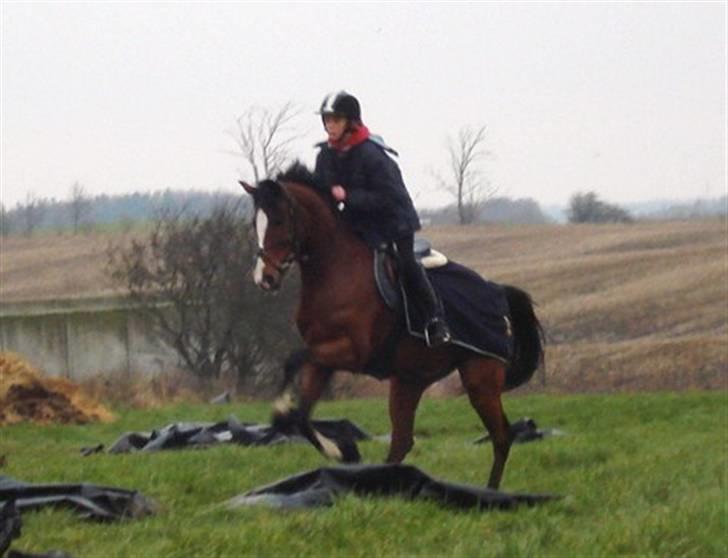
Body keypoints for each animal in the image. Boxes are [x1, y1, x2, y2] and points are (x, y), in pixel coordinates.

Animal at [242, 163, 544, 490]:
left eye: (279, 220)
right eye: (255, 223)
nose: (264, 278)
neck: (334, 270)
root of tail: (498, 292)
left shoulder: (351, 352)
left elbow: (293, 362)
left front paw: (291, 414)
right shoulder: (323, 358)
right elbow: (301, 412)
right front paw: (341, 449)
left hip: (480, 379)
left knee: (501, 436)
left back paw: (488, 493)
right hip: (409, 381)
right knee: (402, 442)